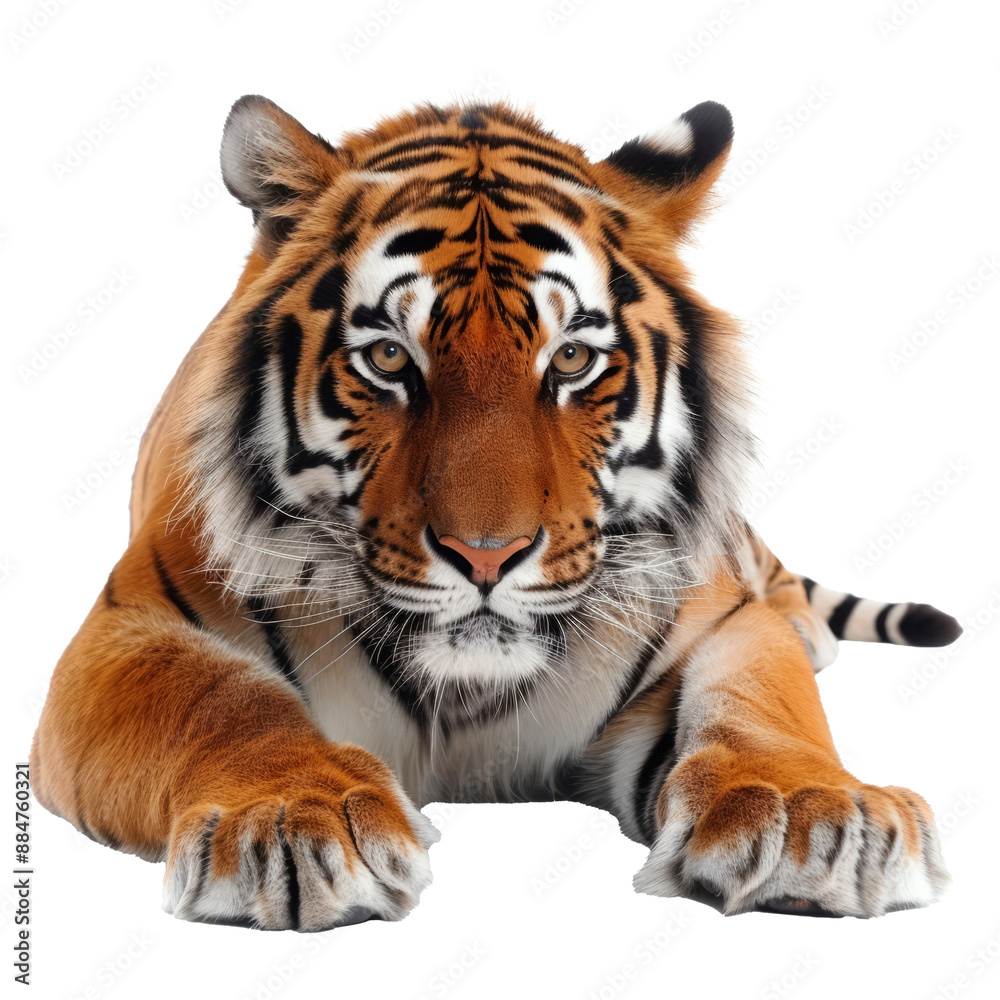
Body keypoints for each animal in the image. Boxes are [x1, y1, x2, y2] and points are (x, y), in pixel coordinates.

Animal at [30, 95, 963, 931]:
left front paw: (811, 814)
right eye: (387, 358)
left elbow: (765, 704)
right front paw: (293, 817)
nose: (487, 556)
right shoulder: (127, 628)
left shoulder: (721, 621)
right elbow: (221, 701)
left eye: (573, 359)